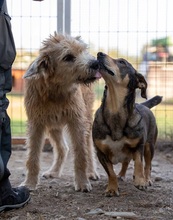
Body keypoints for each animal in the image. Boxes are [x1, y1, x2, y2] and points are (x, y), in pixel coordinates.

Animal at [92, 52, 162, 197]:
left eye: (122, 62)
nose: (99, 53)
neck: (115, 109)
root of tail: (143, 104)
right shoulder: (101, 153)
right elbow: (111, 173)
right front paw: (112, 188)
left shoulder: (138, 146)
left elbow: (139, 163)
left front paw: (140, 181)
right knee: (125, 162)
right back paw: (122, 175)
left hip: (150, 146)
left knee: (148, 165)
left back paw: (147, 179)